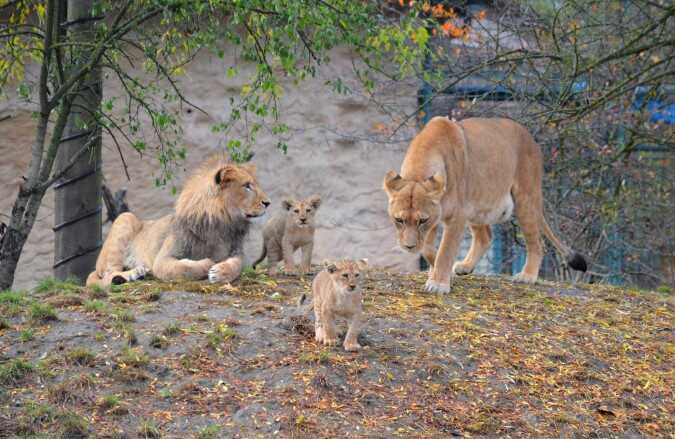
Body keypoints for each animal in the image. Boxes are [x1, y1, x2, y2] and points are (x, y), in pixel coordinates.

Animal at [86, 157, 270, 288]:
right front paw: (209, 263)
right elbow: (186, 268)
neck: (223, 223)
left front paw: (221, 272)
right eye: (247, 186)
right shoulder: (163, 260)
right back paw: (133, 274)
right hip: (125, 218)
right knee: (107, 275)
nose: (268, 203)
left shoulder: (237, 252)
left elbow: (237, 265)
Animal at [386, 117, 588, 296]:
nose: (409, 247)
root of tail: (532, 139)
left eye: (422, 220)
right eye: (399, 220)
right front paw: (439, 273)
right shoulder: (439, 216)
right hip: (477, 204)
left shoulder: (456, 216)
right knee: (485, 237)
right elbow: (429, 249)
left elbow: (445, 250)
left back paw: (527, 276)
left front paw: (438, 283)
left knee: (537, 243)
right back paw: (465, 267)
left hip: (525, 199)